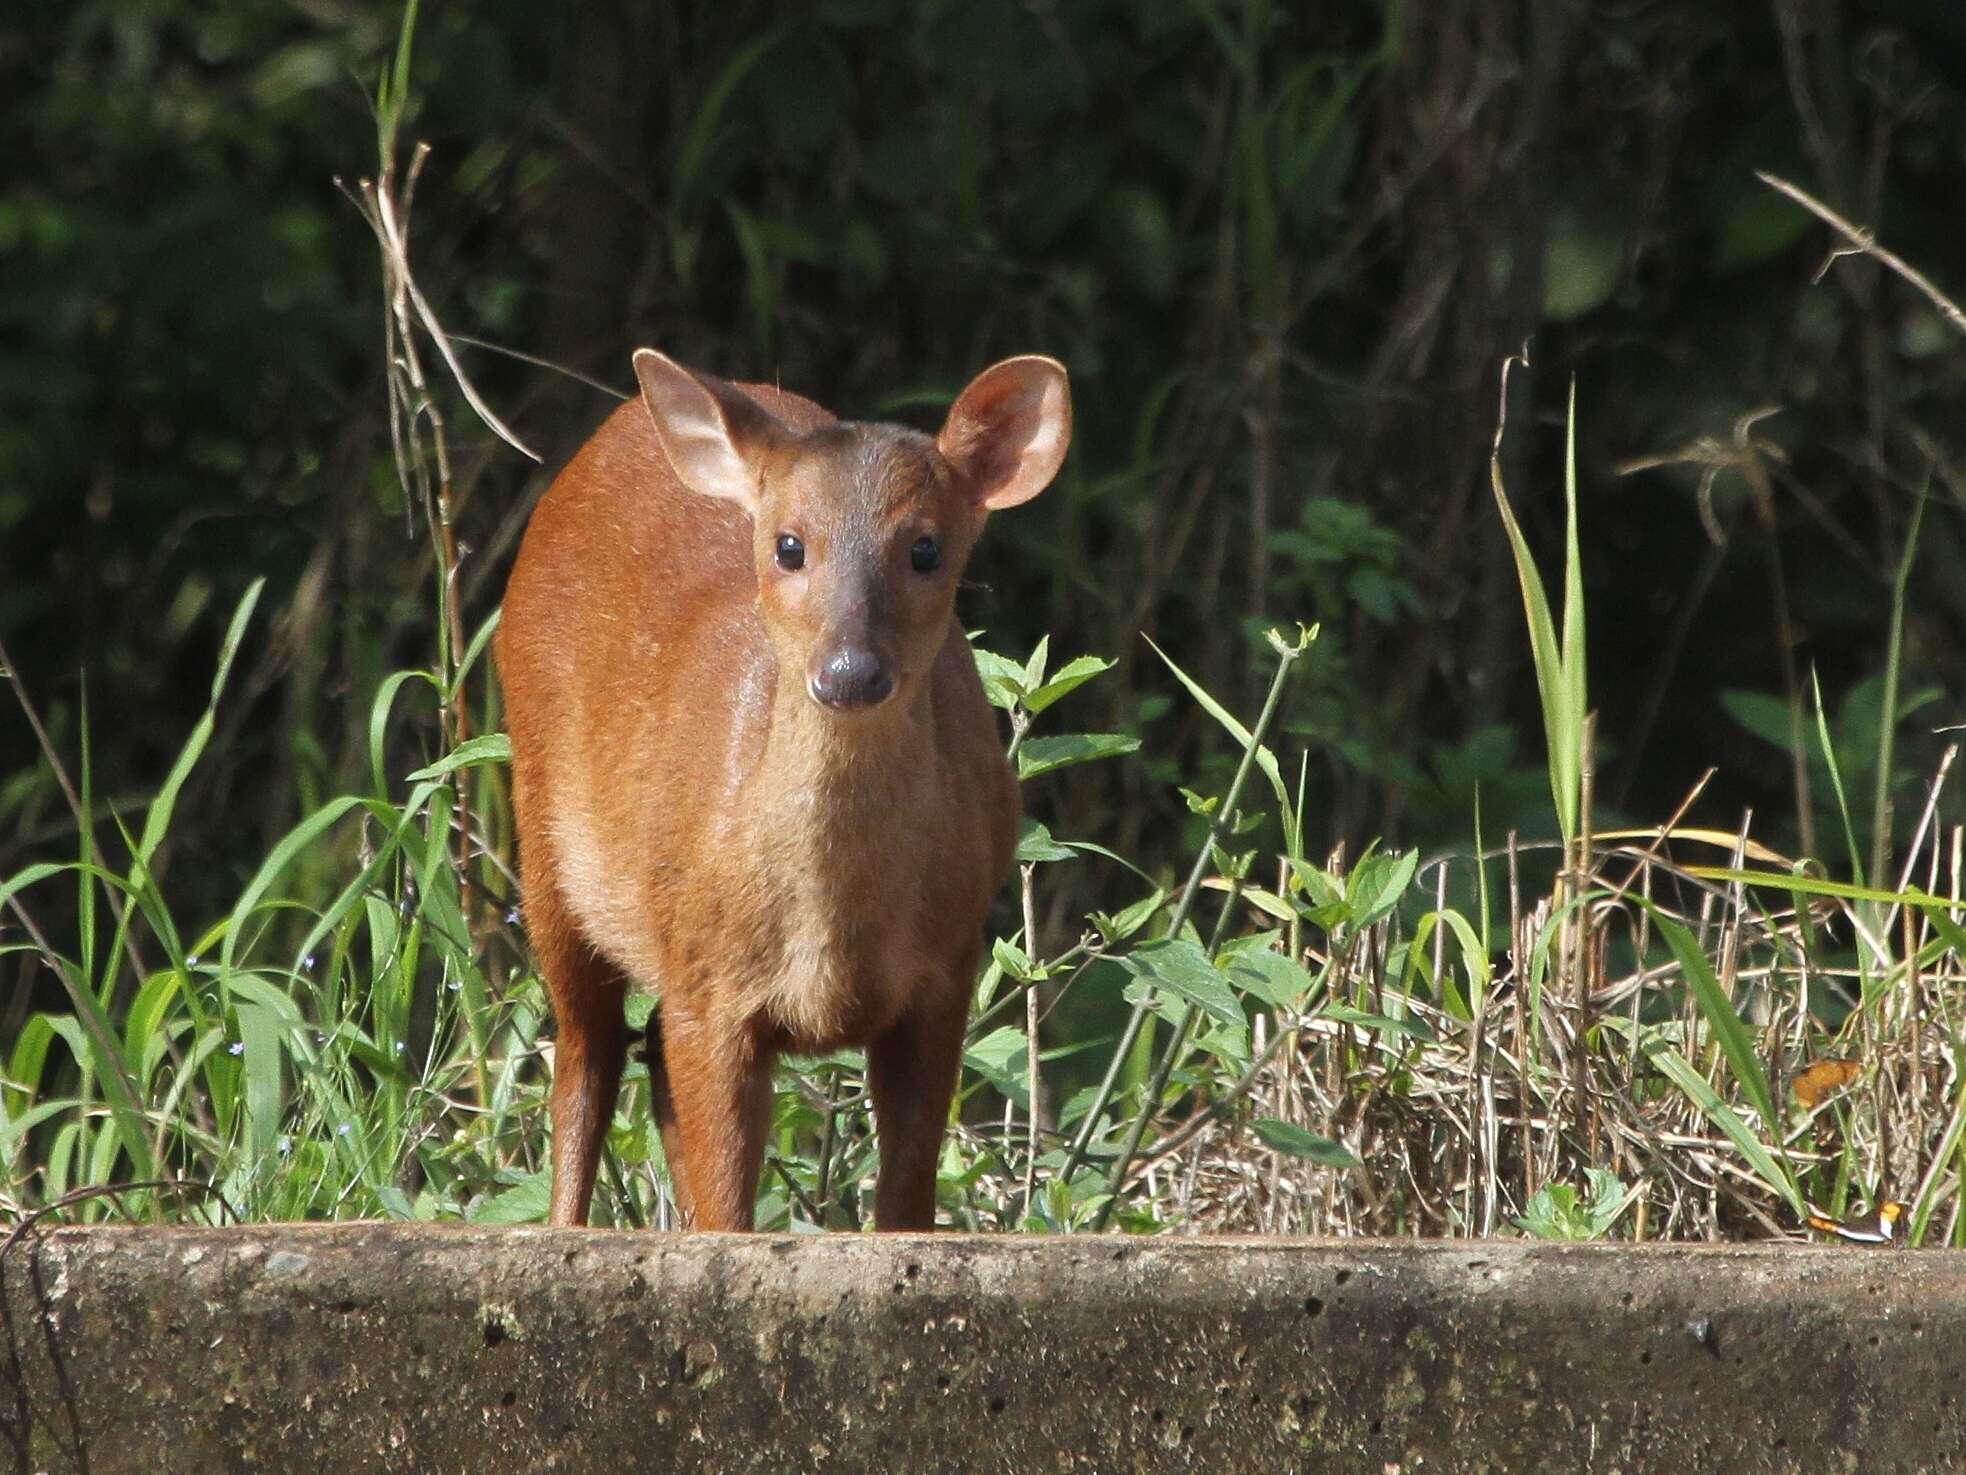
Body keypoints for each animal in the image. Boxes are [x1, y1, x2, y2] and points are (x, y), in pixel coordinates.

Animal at [499, 352, 1069, 1227]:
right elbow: (728, 1202)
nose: (850, 672)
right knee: (583, 1058)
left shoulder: (944, 970)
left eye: (926, 549)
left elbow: (905, 1196)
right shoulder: (708, 987)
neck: (834, 933)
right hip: (547, 841)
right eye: (790, 545)